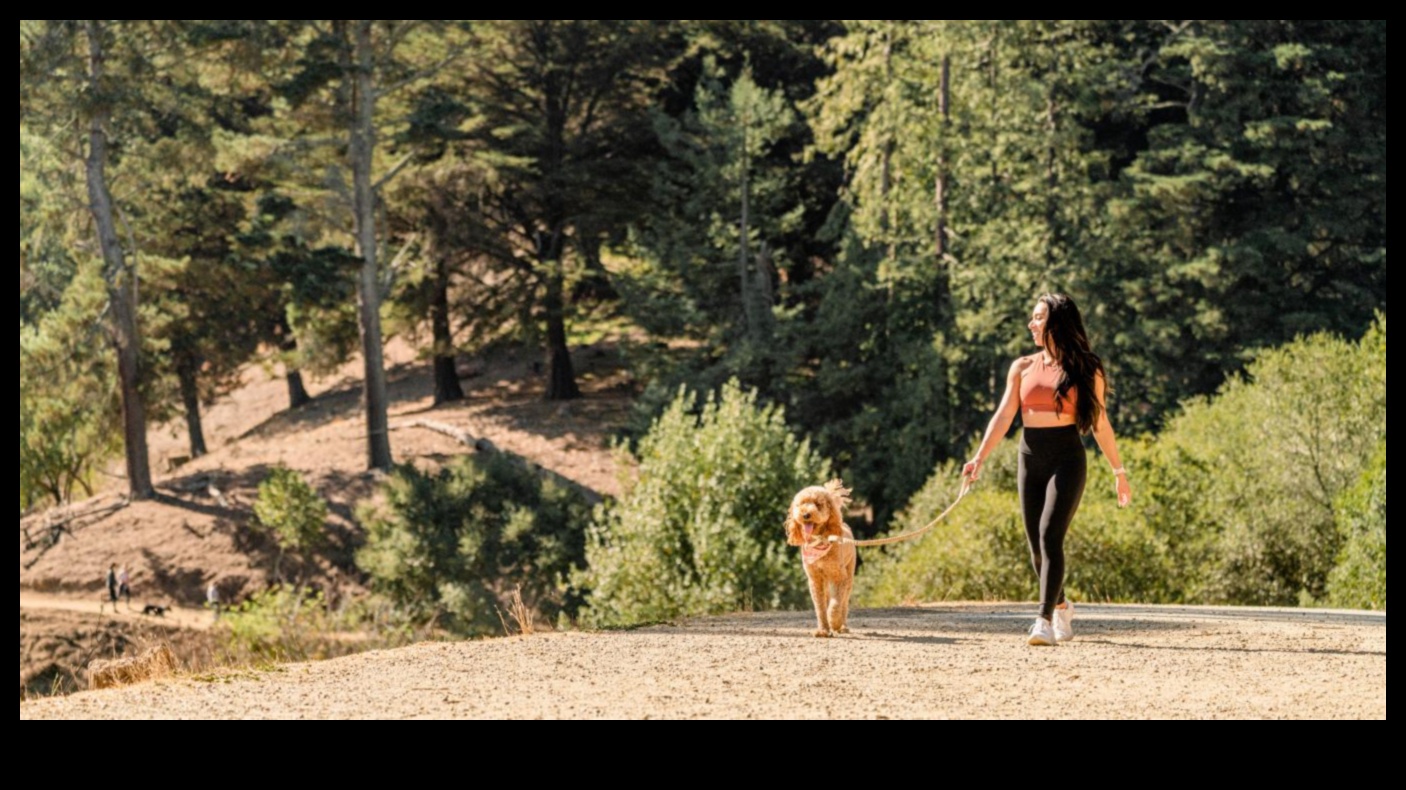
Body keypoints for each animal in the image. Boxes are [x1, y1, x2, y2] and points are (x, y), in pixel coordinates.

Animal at [781, 477, 854, 635]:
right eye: (801, 504)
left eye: (818, 504)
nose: (805, 515)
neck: (819, 540)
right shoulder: (815, 579)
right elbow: (820, 607)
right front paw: (823, 631)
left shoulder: (839, 577)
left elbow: (836, 604)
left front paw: (834, 623)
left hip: (849, 573)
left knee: (844, 602)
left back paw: (843, 626)